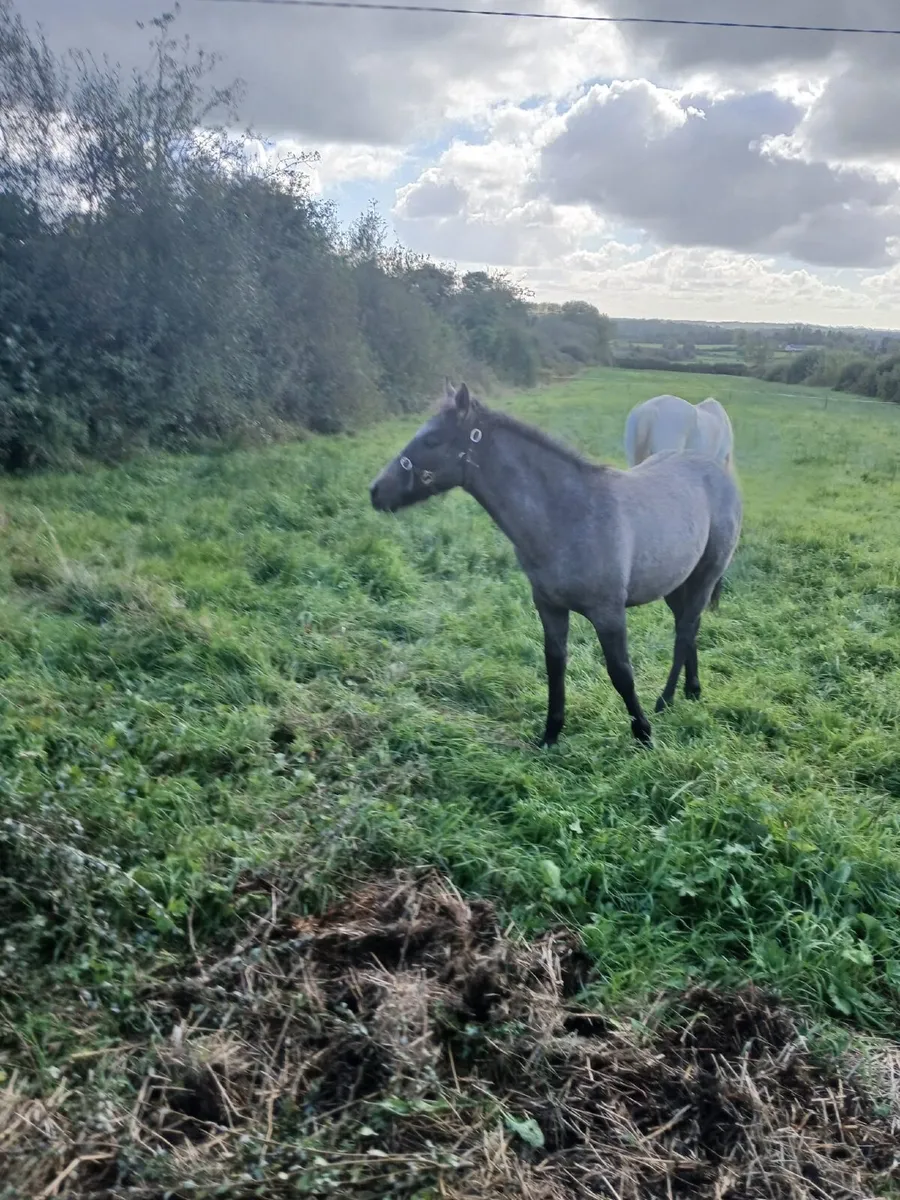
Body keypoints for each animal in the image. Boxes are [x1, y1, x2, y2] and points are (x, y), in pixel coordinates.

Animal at [370, 382, 742, 748]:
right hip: (675, 582)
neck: (567, 515)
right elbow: (555, 663)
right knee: (688, 626)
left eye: (432, 440)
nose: (376, 491)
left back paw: (666, 700)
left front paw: (644, 735)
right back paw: (692, 690)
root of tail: (715, 469)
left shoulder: (608, 612)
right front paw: (550, 734)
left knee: (685, 631)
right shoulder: (549, 606)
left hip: (705, 575)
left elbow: (621, 673)